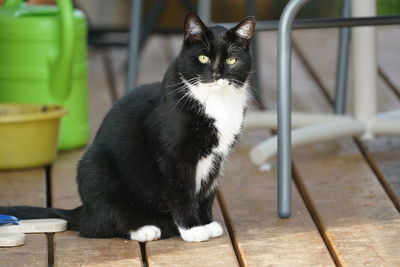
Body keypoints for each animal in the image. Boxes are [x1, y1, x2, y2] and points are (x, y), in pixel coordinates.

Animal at [0, 13, 255, 243]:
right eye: (202, 58)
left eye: (231, 61)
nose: (216, 75)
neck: (216, 102)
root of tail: (83, 210)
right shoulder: (174, 156)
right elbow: (182, 191)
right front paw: (192, 229)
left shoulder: (217, 157)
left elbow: (207, 192)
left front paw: (206, 223)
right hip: (96, 170)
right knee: (97, 226)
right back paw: (145, 229)